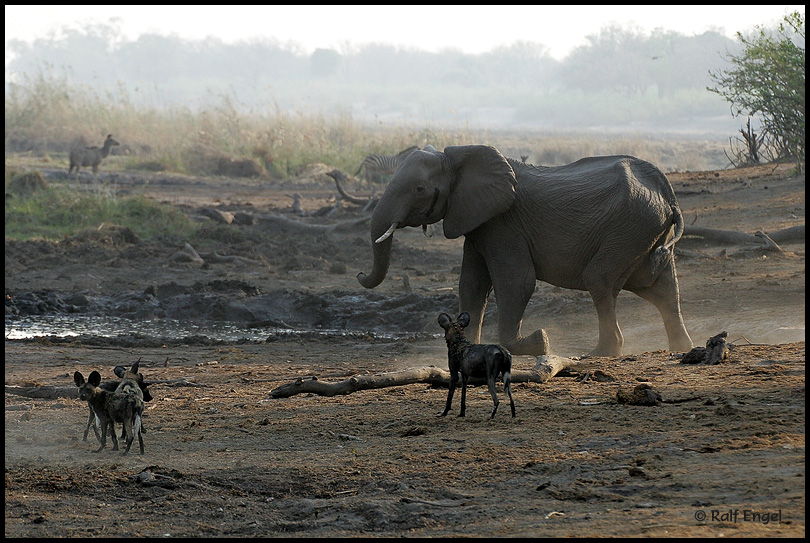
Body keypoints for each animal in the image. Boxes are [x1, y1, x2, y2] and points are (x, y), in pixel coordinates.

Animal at [356, 144, 692, 360]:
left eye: (419, 190)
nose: (359, 274)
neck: (457, 157)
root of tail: (667, 194)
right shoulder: (480, 223)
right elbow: (472, 284)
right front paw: (469, 351)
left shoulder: (503, 223)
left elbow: (516, 282)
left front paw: (539, 342)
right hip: (644, 230)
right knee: (659, 286)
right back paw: (682, 349)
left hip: (629, 226)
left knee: (599, 279)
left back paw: (599, 354)